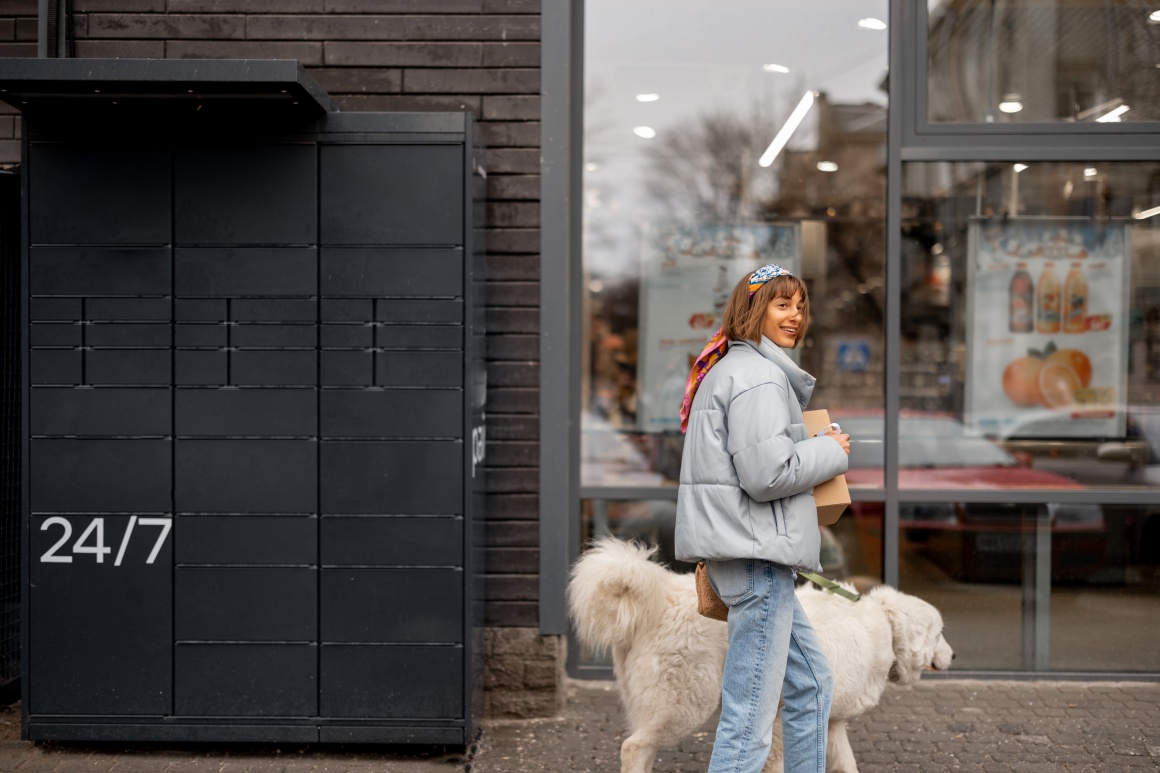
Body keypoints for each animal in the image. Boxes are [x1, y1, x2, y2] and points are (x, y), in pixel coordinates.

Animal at [566, 536, 955, 770]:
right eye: (940, 633)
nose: (953, 658)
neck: (884, 629)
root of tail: (661, 598)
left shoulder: (830, 722)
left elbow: (846, 764)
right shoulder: (785, 720)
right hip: (686, 705)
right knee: (634, 747)